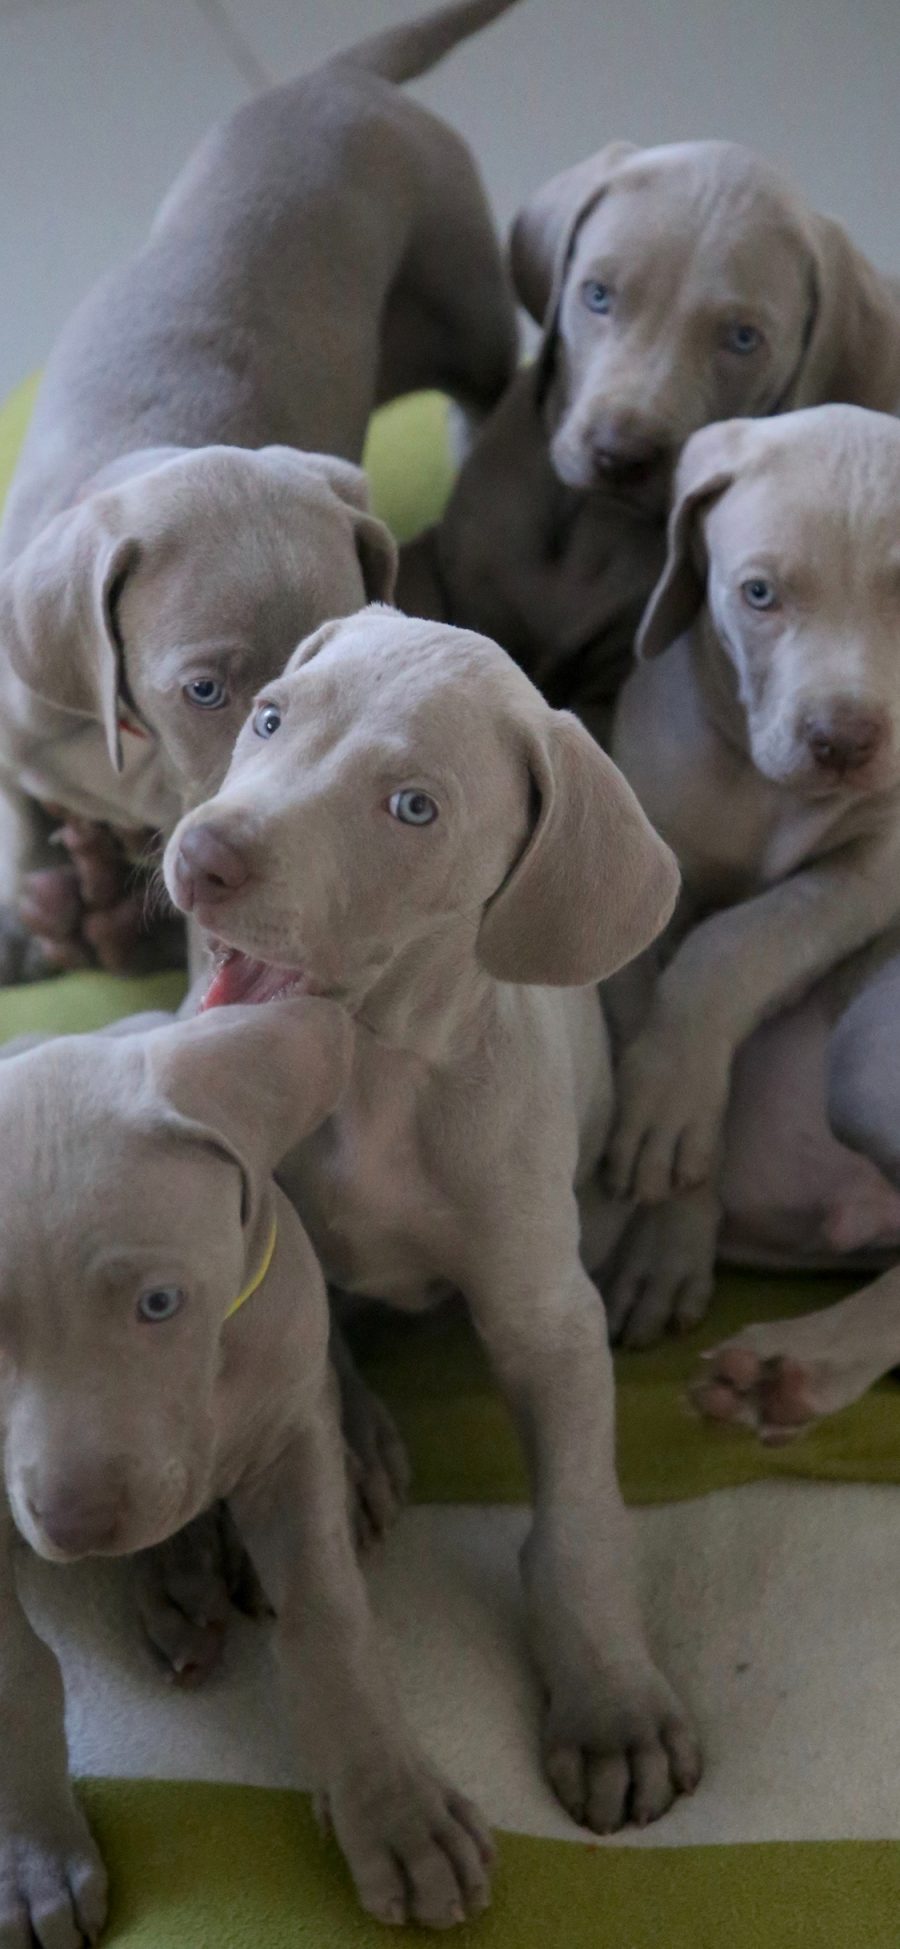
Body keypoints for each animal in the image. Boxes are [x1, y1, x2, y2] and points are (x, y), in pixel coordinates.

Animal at [0, 0, 522, 974]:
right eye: (206, 691)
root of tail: (334, 76)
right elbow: (16, 803)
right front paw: (28, 910)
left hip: (458, 285)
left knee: (492, 374)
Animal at [0, 997, 506, 1941]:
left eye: (161, 1302)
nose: (76, 1526)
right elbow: (14, 1671)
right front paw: (31, 1861)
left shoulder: (289, 1440)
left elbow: (328, 1618)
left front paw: (397, 1815)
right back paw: (185, 1577)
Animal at [157, 608, 701, 1839]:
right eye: (269, 718)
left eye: (413, 808)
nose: (202, 856)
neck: (374, 1076)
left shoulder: (545, 1310)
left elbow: (579, 1513)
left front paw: (611, 1705)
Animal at [409, 141, 900, 717]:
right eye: (597, 295)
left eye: (742, 338)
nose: (619, 455)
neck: (595, 522)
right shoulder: (471, 596)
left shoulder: (612, 678)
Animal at [596, 407, 900, 1356]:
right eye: (759, 595)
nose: (842, 740)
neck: (765, 791)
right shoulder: (639, 879)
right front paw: (666, 1228)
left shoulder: (877, 865)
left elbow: (739, 942)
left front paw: (671, 1100)